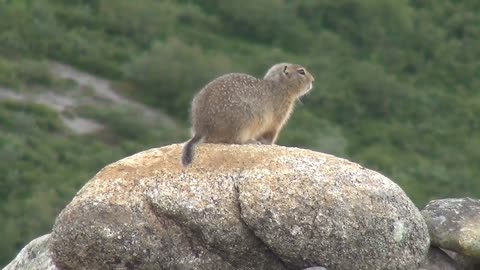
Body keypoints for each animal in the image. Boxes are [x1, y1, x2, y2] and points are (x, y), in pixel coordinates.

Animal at [182, 62, 314, 167]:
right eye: (301, 71)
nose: (313, 80)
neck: (279, 85)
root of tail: (201, 129)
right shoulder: (278, 116)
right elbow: (271, 133)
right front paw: (269, 143)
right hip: (245, 119)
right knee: (235, 139)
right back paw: (250, 141)